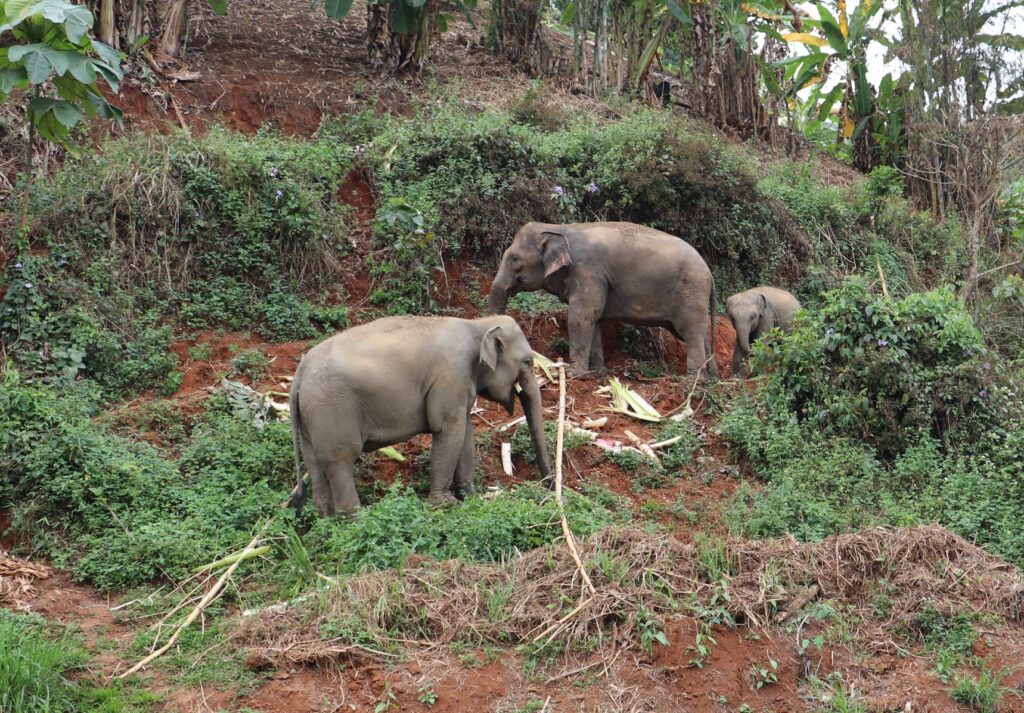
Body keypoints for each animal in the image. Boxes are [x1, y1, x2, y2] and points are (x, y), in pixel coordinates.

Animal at [287, 315, 552, 516]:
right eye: (527, 362)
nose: (548, 488)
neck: (477, 323)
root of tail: (299, 374)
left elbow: (464, 433)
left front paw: (471, 498)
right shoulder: (451, 375)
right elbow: (447, 430)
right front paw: (445, 504)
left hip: (310, 419)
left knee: (314, 463)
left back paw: (325, 519)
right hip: (332, 411)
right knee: (340, 461)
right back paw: (356, 520)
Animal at [489, 221, 719, 380]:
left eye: (515, 260)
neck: (558, 228)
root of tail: (709, 272)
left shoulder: (588, 271)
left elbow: (580, 317)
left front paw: (574, 374)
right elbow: (595, 319)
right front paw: (598, 373)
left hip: (690, 291)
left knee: (690, 330)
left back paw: (692, 381)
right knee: (700, 333)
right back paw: (711, 378)